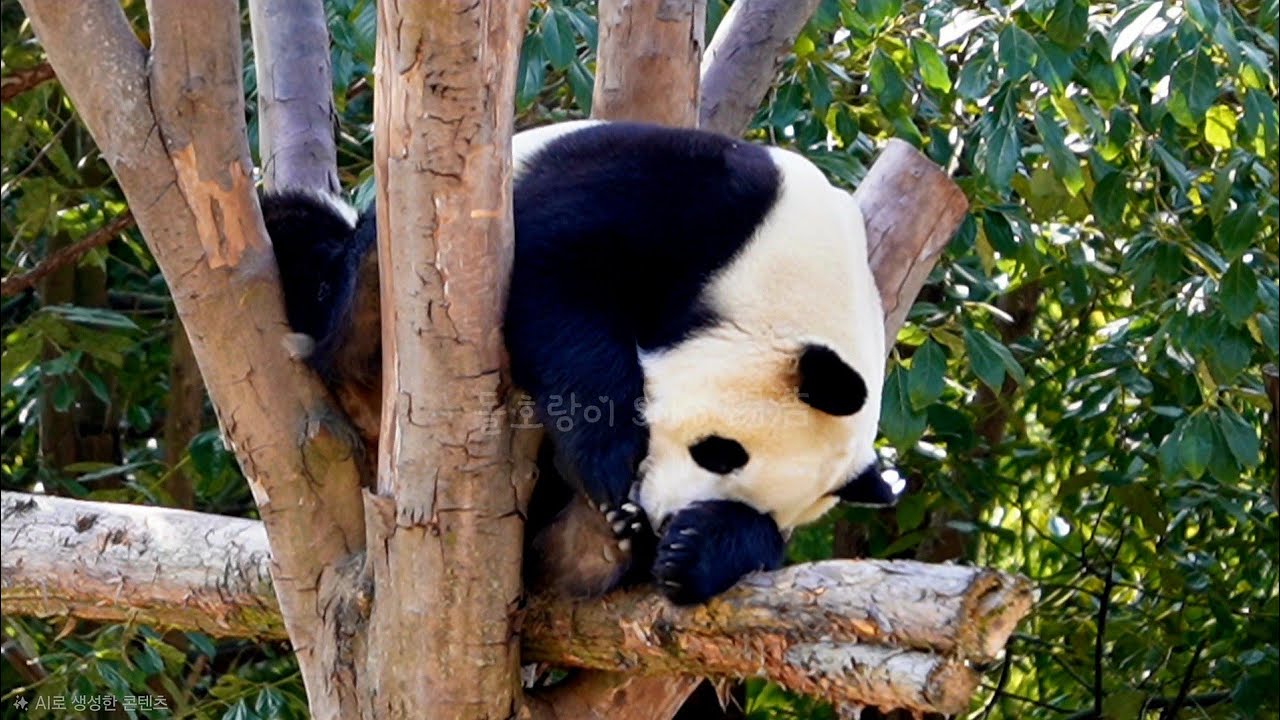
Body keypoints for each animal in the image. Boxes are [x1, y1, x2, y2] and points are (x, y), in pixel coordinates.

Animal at [262, 121, 897, 606]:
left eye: (739, 491)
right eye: (719, 451)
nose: (659, 521)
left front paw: (696, 547)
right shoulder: (691, 201)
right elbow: (559, 270)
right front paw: (607, 464)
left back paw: (594, 548)